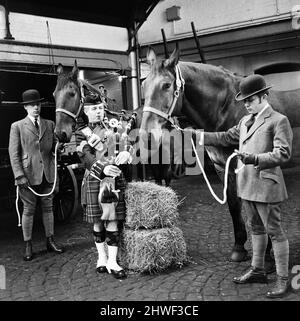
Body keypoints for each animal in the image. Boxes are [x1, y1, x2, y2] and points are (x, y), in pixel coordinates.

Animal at [140, 47, 300, 262]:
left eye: (166, 85)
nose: (147, 136)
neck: (227, 108)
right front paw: (239, 248)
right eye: (144, 84)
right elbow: (233, 205)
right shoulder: (223, 167)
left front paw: (265, 251)